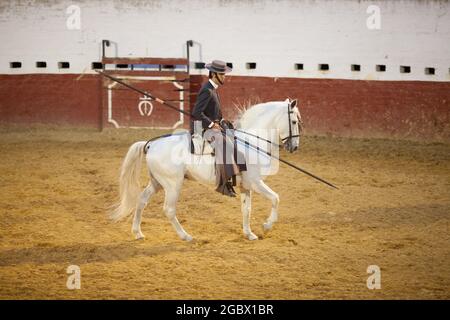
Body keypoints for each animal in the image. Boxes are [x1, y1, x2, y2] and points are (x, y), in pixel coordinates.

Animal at [110, 99, 300, 241]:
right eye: (294, 121)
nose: (295, 147)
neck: (251, 143)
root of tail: (151, 144)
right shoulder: (256, 182)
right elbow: (275, 198)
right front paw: (267, 226)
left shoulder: (246, 185)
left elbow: (246, 209)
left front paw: (249, 234)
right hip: (172, 184)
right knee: (169, 210)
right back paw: (185, 236)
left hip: (157, 182)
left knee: (142, 200)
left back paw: (138, 233)